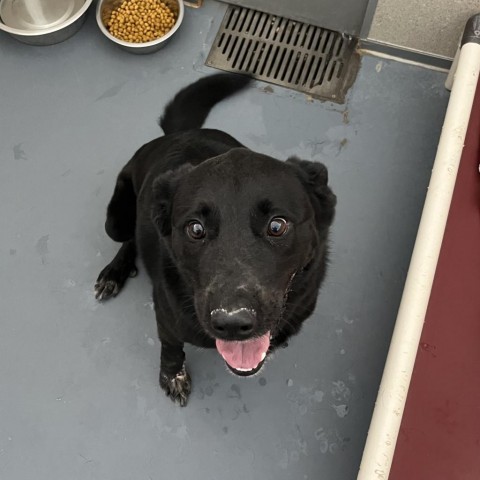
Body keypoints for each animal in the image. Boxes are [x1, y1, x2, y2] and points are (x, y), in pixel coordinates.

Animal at [95, 74, 336, 404]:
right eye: (195, 229)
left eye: (277, 226)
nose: (232, 323)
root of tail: (179, 132)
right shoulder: (166, 316)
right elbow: (171, 346)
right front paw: (173, 375)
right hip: (115, 220)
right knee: (127, 237)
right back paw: (115, 272)